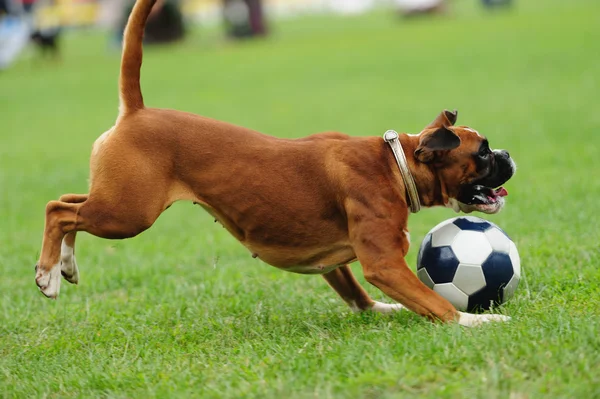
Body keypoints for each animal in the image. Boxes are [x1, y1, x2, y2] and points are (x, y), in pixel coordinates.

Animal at [35, 0, 516, 328]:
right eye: (483, 152)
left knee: (69, 201)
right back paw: (47, 275)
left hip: (116, 198)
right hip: (128, 213)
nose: (508, 156)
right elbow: (438, 302)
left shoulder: (340, 262)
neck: (394, 164)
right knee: (58, 210)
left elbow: (360, 297)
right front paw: (478, 320)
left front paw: (385, 309)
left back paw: (66, 265)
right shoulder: (383, 263)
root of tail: (137, 111)